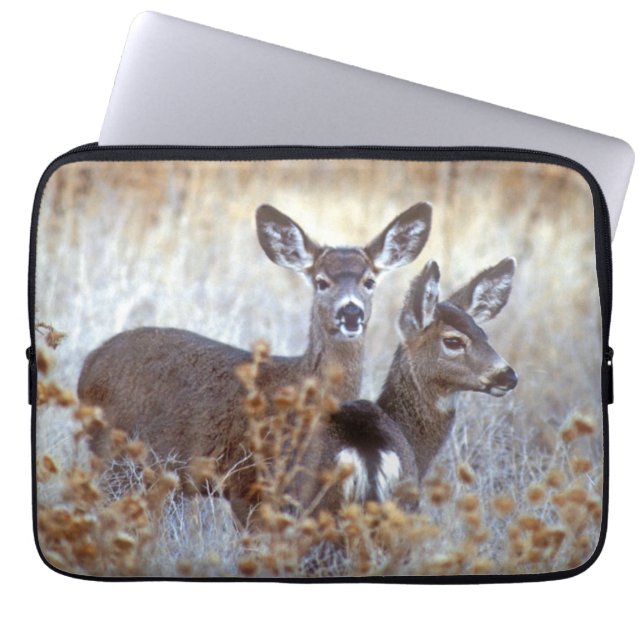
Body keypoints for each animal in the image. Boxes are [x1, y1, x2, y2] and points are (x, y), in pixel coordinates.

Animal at [77, 201, 432, 518]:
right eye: (321, 281)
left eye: (369, 281)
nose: (351, 312)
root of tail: (90, 362)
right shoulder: (246, 484)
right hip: (113, 456)